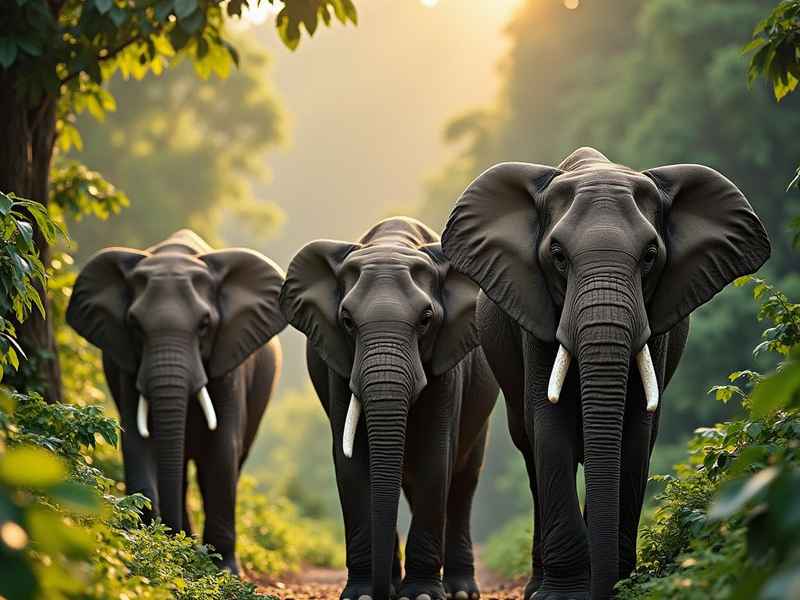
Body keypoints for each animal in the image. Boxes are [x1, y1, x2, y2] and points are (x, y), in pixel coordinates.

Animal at [66, 229, 287, 572]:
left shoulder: (230, 362)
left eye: (205, 325)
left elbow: (222, 447)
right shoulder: (128, 366)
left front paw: (224, 570)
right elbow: (138, 442)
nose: (171, 538)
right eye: (135, 325)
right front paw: (153, 546)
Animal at [280, 217, 499, 600]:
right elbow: (352, 467)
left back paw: (459, 591)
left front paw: (422, 595)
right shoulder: (338, 364)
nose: (385, 592)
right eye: (347, 320)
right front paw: (363, 594)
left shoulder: (447, 362)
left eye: (426, 319)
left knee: (463, 481)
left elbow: (434, 460)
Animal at [441, 147, 771, 600]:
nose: (603, 589)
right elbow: (549, 426)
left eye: (650, 256)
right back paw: (536, 586)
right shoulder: (536, 315)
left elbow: (636, 432)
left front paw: (620, 586)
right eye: (558, 256)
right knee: (529, 449)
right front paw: (562, 595)